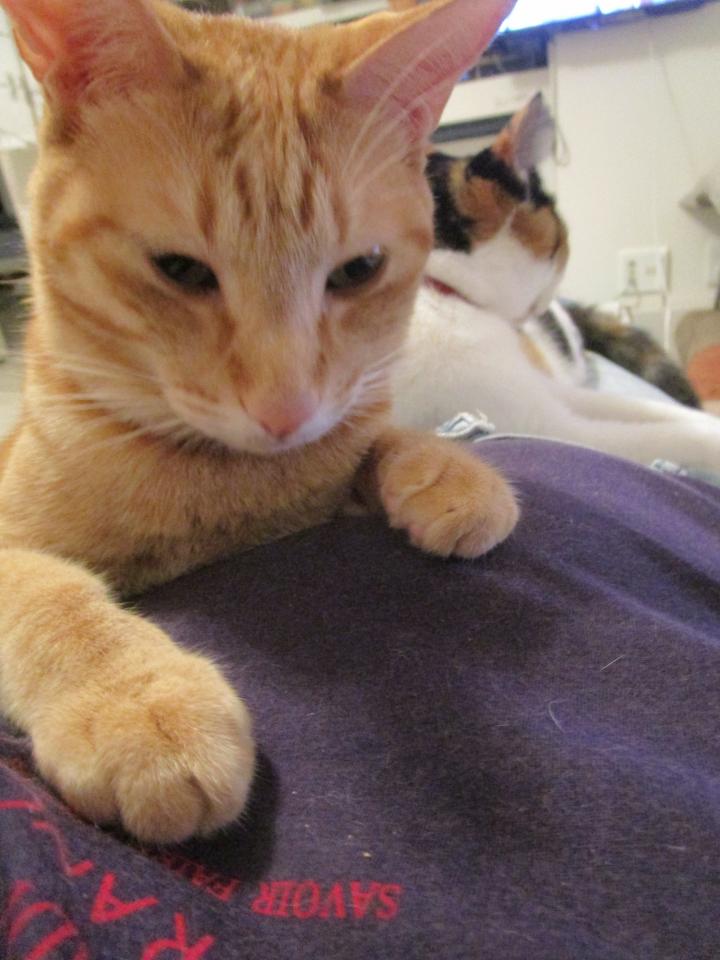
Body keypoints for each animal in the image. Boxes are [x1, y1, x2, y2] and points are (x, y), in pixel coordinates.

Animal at [0, 0, 518, 844]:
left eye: (358, 270)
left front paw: (441, 467)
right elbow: (46, 593)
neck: (226, 490)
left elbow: (365, 435)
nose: (285, 409)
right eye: (179, 270)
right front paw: (136, 700)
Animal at [392, 94, 720, 472]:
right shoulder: (539, 423)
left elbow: (644, 408)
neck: (441, 292)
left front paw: (705, 419)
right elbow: (665, 437)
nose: (552, 295)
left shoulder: (547, 388)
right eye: (562, 242)